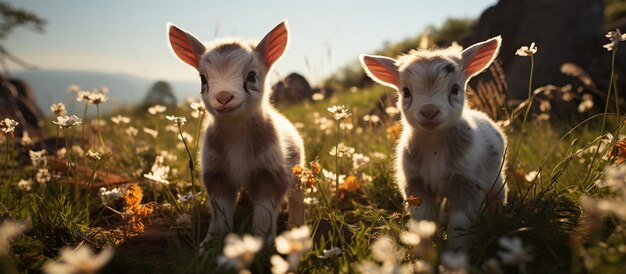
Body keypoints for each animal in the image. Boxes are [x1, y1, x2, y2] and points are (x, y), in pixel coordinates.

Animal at [165, 20, 304, 253]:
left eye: (252, 76)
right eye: (203, 78)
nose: (223, 97)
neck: (237, 132)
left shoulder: (271, 173)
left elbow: (264, 214)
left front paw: (261, 245)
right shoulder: (216, 173)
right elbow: (221, 215)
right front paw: (209, 246)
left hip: (298, 172)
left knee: (297, 199)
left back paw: (297, 227)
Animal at [360, 37, 508, 252]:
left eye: (455, 89)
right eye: (406, 92)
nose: (429, 111)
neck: (434, 145)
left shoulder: (469, 181)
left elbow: (459, 224)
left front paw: (456, 254)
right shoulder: (415, 185)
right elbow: (423, 222)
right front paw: (424, 252)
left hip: (496, 177)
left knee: (498, 195)